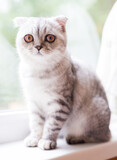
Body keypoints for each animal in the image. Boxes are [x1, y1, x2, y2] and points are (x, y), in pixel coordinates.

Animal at [14, 16, 111, 150]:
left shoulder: (60, 103)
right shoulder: (34, 103)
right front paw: (34, 138)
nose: (38, 47)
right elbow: (36, 124)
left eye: (50, 38)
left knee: (98, 137)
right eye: (28, 38)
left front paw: (47, 141)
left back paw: (74, 138)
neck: (38, 71)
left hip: (91, 115)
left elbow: (51, 126)